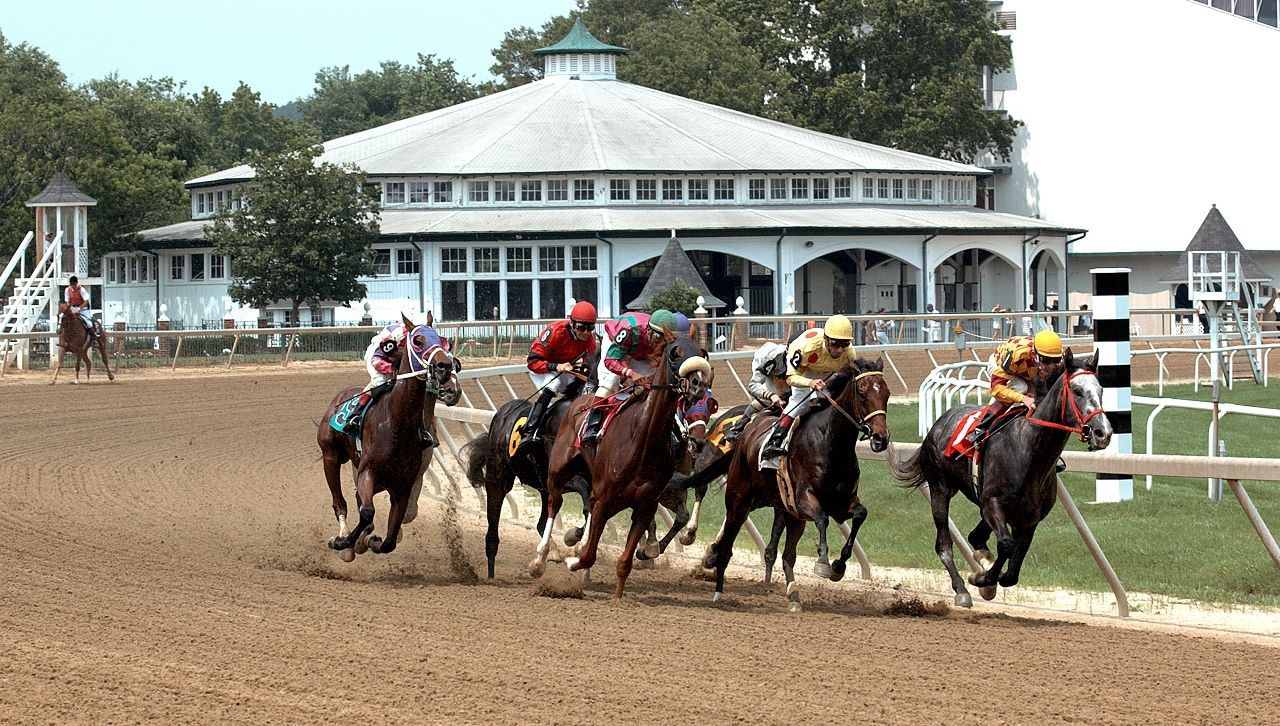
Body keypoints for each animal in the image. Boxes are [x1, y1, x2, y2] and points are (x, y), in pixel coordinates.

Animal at [317, 313, 463, 563]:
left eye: (445, 343)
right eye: (418, 341)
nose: (444, 367)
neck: (397, 423)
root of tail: (338, 397)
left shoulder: (405, 484)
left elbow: (391, 538)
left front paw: (372, 541)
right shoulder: (367, 473)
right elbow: (367, 512)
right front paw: (346, 542)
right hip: (331, 456)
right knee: (340, 502)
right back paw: (344, 539)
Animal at [529, 335, 711, 596]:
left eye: (703, 353)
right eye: (674, 353)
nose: (698, 385)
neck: (643, 441)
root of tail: (580, 402)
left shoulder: (649, 501)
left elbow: (626, 559)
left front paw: (620, 593)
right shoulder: (605, 498)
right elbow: (588, 553)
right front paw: (573, 556)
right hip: (558, 471)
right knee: (555, 503)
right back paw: (541, 560)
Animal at [701, 361, 890, 612]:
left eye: (887, 394)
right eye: (862, 394)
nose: (881, 438)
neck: (831, 444)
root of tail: (746, 435)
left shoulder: (841, 503)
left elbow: (860, 514)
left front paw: (838, 566)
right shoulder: (804, 499)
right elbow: (822, 519)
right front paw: (823, 562)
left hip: (786, 511)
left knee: (787, 556)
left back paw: (793, 596)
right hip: (738, 502)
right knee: (726, 545)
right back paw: (718, 590)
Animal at [890, 350, 1111, 606]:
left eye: (1101, 390)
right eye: (1077, 391)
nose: (1103, 433)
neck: (1027, 450)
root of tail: (939, 422)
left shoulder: (1029, 519)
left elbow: (1012, 572)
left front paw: (988, 574)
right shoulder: (993, 503)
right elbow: (1006, 545)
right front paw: (982, 579)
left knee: (975, 536)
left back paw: (982, 557)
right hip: (940, 488)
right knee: (944, 544)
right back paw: (961, 589)